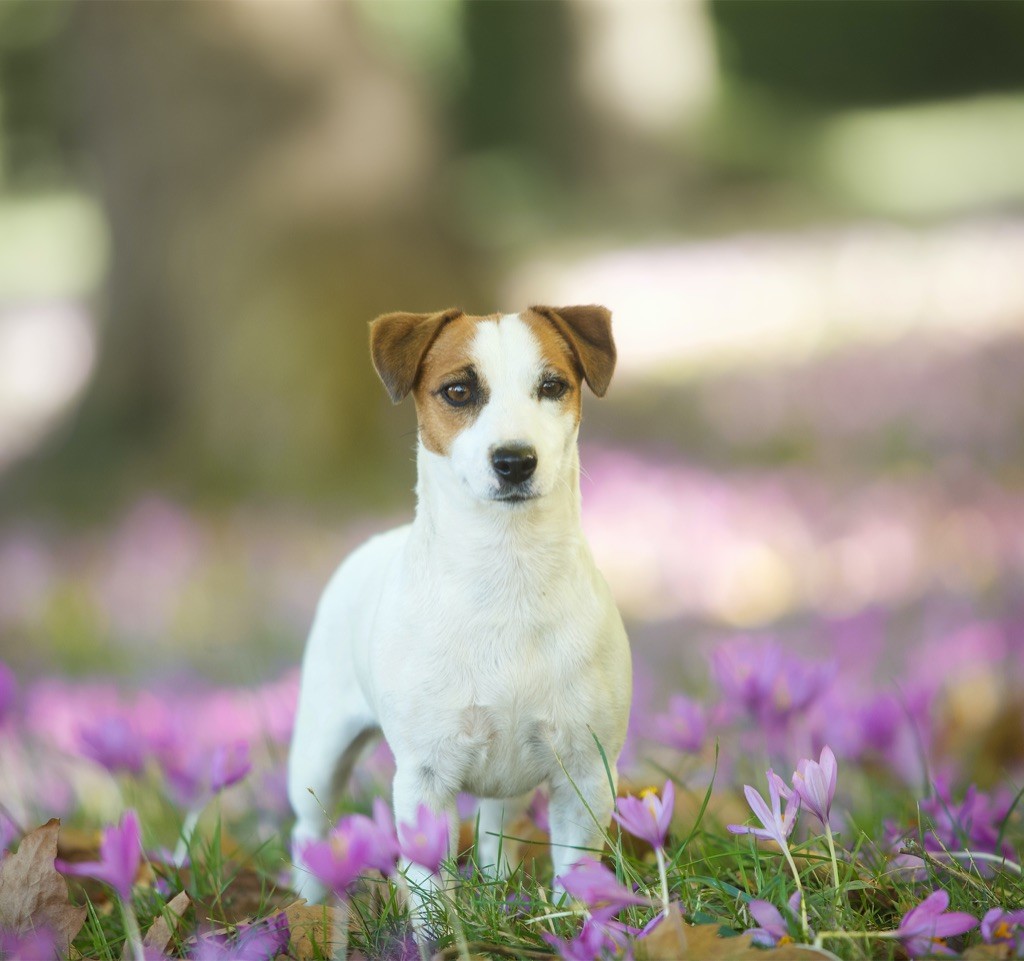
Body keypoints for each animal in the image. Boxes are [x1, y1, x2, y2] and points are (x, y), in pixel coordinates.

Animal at [284, 303, 626, 909]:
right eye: (459, 390)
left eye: (552, 385)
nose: (514, 460)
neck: (507, 573)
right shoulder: (426, 777)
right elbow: (426, 886)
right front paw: (432, 927)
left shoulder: (586, 771)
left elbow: (576, 868)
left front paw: (577, 920)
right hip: (319, 753)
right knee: (310, 827)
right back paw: (313, 905)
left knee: (496, 831)